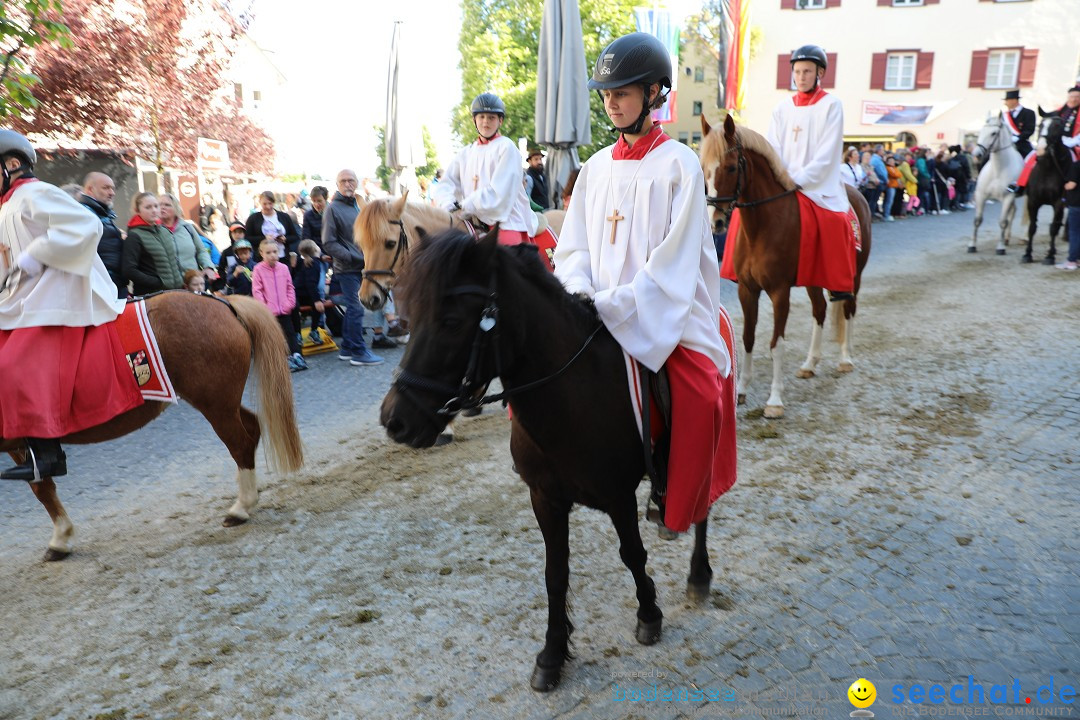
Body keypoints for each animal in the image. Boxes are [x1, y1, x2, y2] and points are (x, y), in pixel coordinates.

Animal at [4, 289, 304, 561]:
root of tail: (221, 300)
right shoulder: (18, 444)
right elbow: (42, 487)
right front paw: (61, 538)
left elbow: (41, 487)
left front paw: (60, 538)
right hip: (221, 404)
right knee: (251, 429)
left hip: (216, 406)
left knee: (240, 444)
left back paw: (241, 507)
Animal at [695, 113, 872, 418]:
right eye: (704, 166)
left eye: (731, 168)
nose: (715, 222)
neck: (762, 227)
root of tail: (856, 193)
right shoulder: (747, 290)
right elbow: (748, 338)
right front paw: (741, 391)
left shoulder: (780, 292)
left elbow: (776, 344)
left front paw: (775, 400)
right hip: (814, 280)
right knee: (820, 311)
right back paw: (810, 364)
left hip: (854, 276)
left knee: (849, 308)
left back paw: (845, 358)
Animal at [972, 112, 1019, 255]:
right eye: (981, 131)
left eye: (994, 133)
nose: (976, 155)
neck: (998, 170)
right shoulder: (980, 195)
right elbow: (977, 220)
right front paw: (972, 245)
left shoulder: (1008, 196)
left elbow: (1003, 222)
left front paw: (1000, 247)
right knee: (1013, 211)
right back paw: (1007, 238)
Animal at [1023, 112, 1067, 267]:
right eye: (1040, 125)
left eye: (1057, 126)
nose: (1041, 148)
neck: (1047, 169)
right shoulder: (1032, 201)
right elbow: (1032, 228)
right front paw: (1027, 254)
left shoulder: (1059, 203)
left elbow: (1053, 228)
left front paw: (1050, 256)